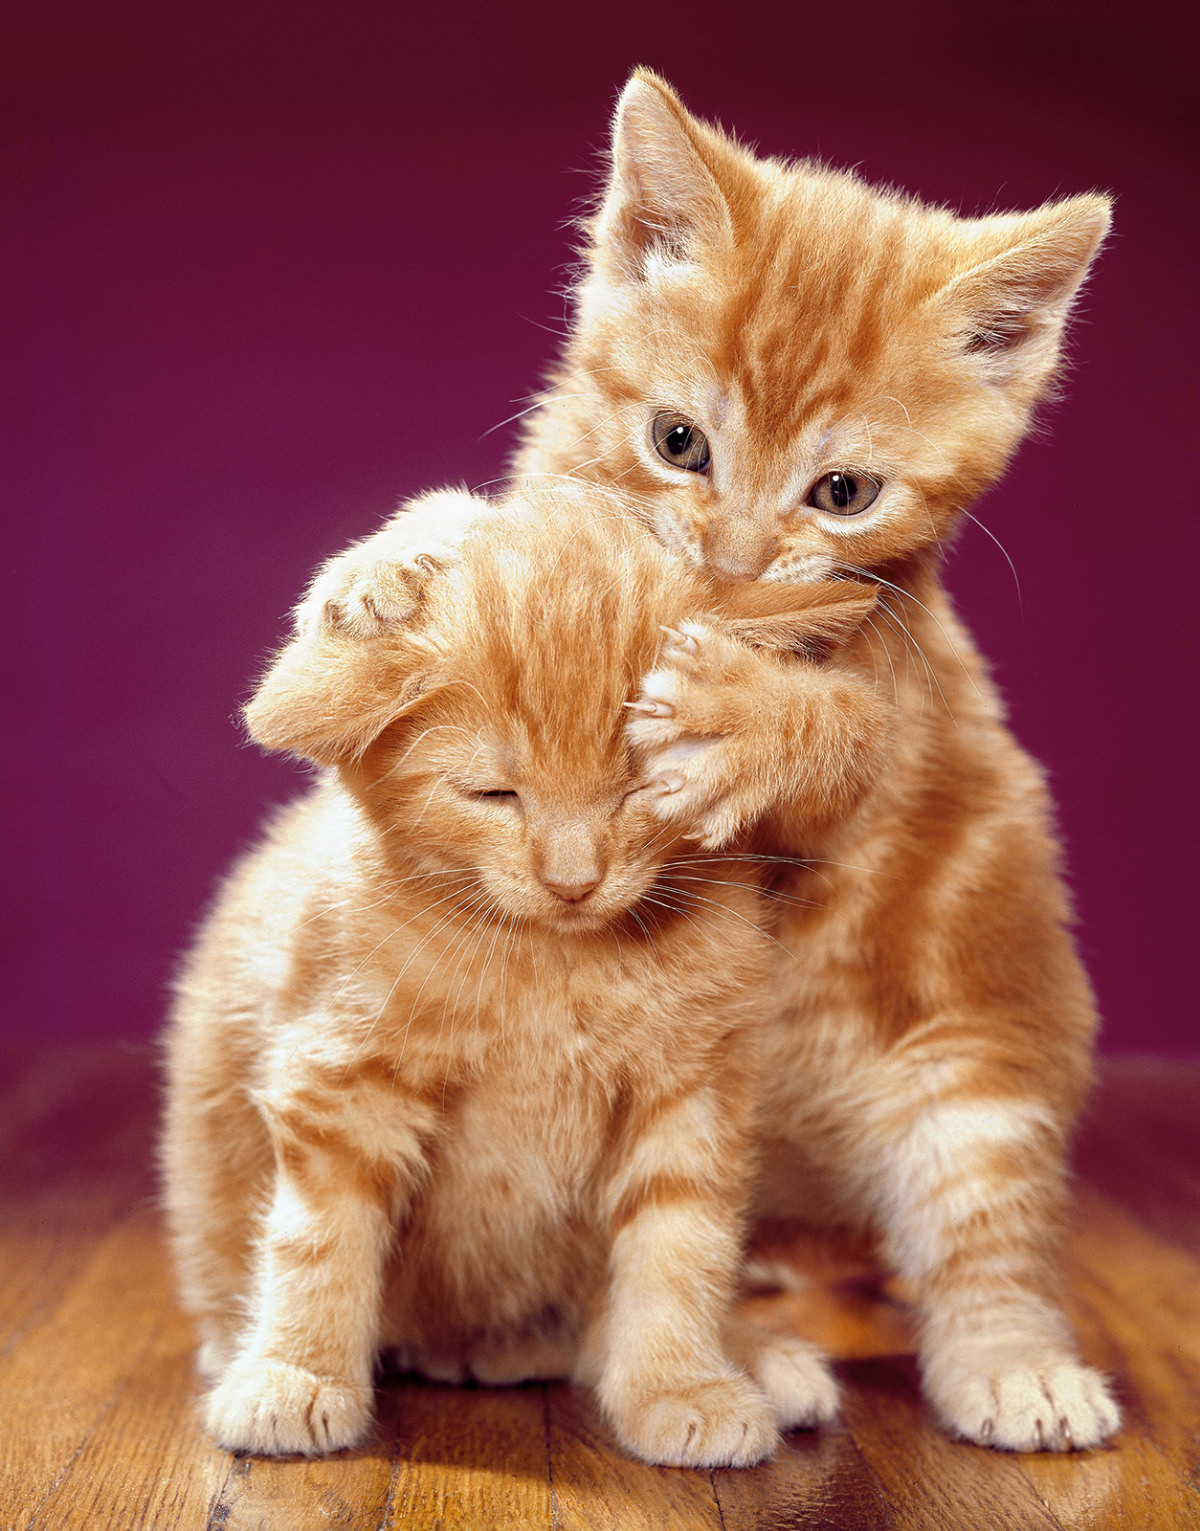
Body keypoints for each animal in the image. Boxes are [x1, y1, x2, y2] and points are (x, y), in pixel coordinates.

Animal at [159, 483, 881, 1463]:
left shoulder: (692, 1090)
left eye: (639, 787)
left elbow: (681, 1244)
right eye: (494, 794)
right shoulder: (340, 1074)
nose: (573, 879)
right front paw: (296, 1373)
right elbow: (318, 1237)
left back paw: (749, 1354)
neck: (553, 969)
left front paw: (680, 1382)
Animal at [332, 77, 1120, 1451]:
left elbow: (846, 739)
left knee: (983, 1230)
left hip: (977, 1059)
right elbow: (489, 530)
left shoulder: (908, 699)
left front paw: (751, 717)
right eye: (679, 441)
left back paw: (1013, 1363)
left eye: (844, 492)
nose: (736, 562)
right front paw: (399, 552)